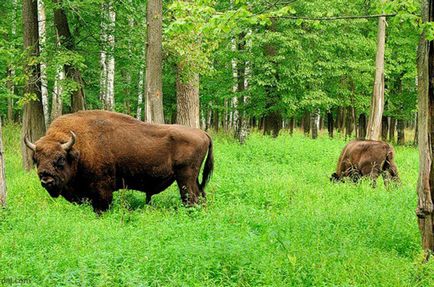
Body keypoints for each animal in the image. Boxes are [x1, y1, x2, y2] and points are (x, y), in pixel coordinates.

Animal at [24, 111, 214, 213]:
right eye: (36, 159)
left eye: (60, 159)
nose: (46, 179)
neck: (79, 148)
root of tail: (203, 133)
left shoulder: (102, 190)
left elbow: (102, 207)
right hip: (192, 178)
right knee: (201, 195)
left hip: (185, 178)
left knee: (191, 198)